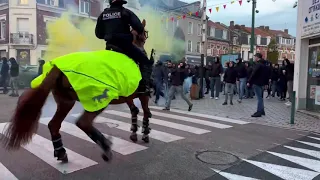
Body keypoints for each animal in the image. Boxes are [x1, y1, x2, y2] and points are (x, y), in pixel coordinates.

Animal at [1, 19, 154, 162]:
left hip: (66, 102)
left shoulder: (129, 95)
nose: (144, 47)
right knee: (83, 123)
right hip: (96, 101)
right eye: (144, 34)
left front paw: (134, 131)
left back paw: (61, 152)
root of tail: (57, 67)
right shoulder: (143, 95)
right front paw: (145, 132)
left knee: (54, 124)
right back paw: (105, 146)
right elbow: (146, 112)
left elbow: (135, 110)